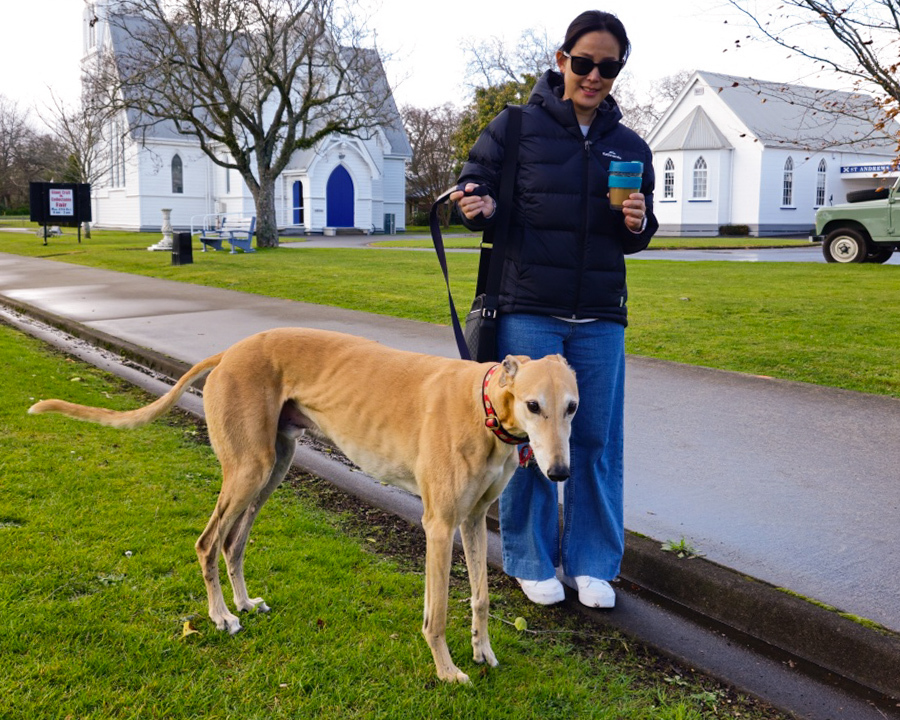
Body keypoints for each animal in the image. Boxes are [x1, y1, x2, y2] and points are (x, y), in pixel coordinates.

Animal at [29, 327, 579, 683]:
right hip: (248, 470)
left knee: (232, 544)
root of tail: (230, 352)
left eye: (571, 407)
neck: (483, 405)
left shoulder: (473, 520)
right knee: (208, 543)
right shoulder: (440, 524)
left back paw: (243, 604)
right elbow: (437, 612)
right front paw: (447, 671)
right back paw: (220, 618)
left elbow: (481, 598)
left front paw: (483, 652)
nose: (559, 474)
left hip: (273, 467)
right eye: (533, 405)